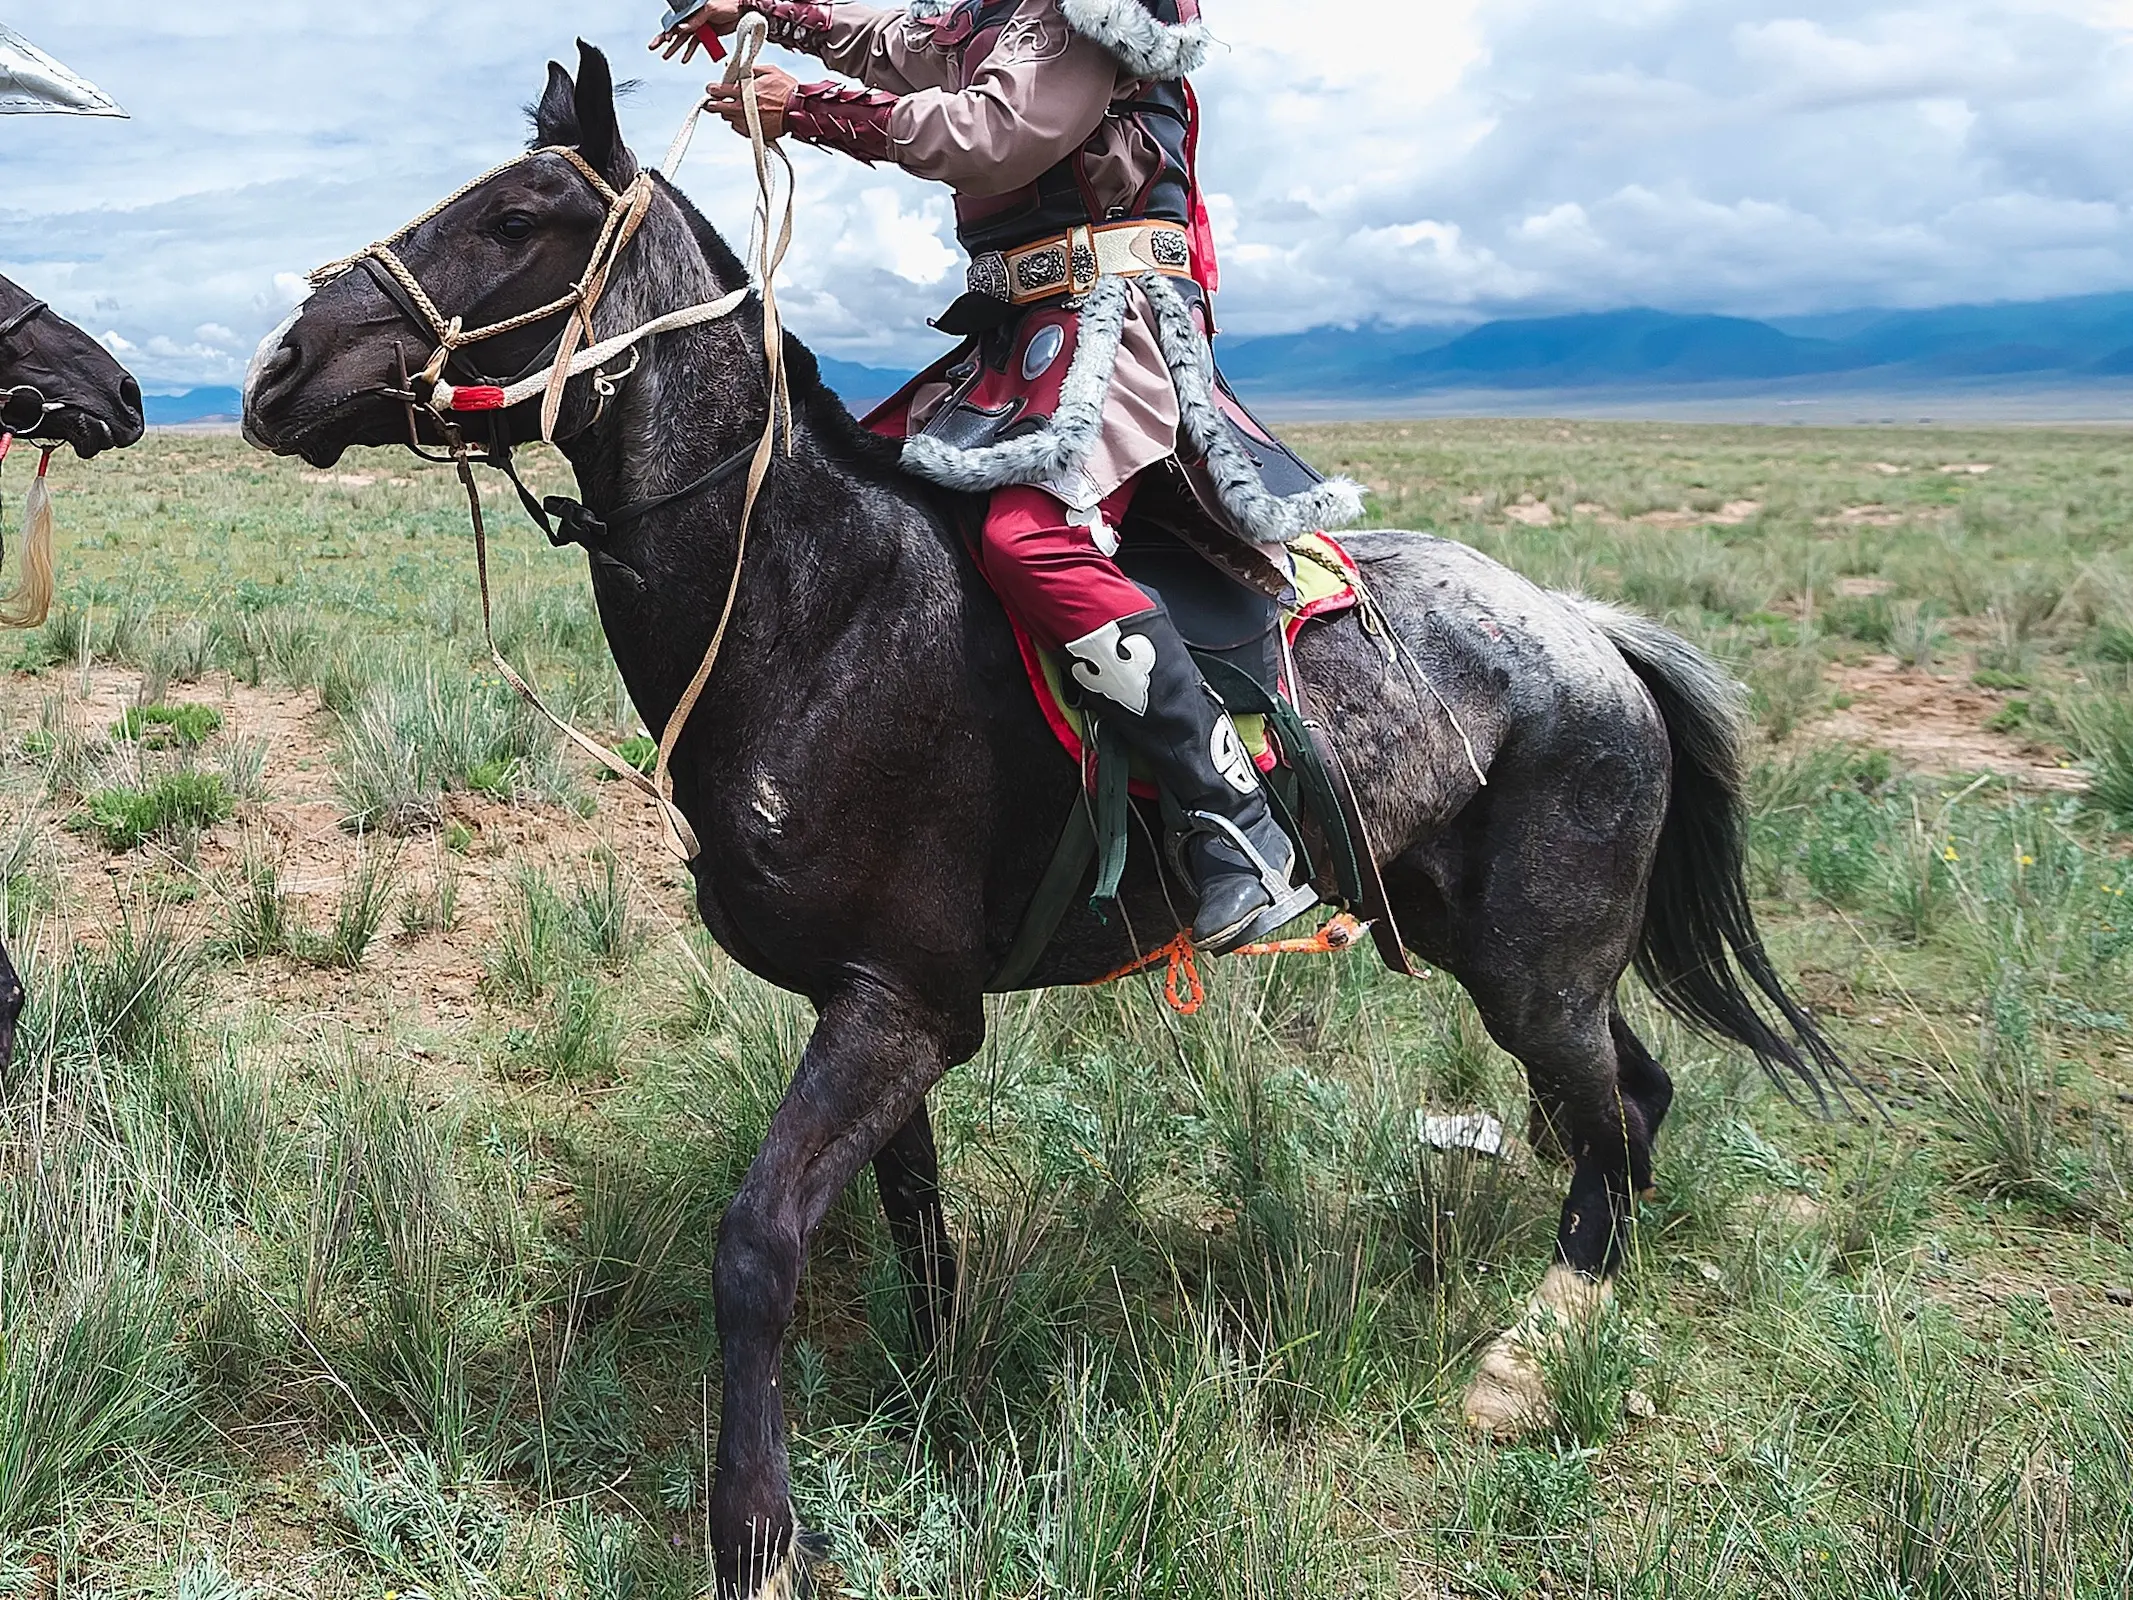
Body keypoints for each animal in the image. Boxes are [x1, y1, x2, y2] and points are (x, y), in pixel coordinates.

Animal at [245, 43, 1851, 1595]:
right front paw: (931, 1393)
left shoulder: (899, 1007)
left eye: (518, 218)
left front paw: (755, 1531)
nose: (278, 368)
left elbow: (758, 1242)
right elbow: (909, 1211)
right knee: (1629, 1101)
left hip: (1536, 965)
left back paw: (1531, 1356)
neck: (814, 606)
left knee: (1609, 1111)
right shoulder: (874, 1003)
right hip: (1489, 946)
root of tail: (1584, 630)